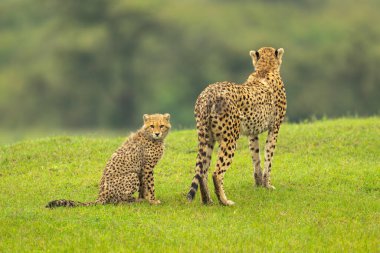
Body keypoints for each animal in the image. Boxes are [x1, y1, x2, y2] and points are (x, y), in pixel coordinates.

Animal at [186, 47, 286, 206]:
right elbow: (268, 158)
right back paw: (224, 201)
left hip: (207, 138)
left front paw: (259, 184)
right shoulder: (275, 128)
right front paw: (267, 185)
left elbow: (256, 158)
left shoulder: (252, 133)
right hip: (230, 138)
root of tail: (207, 94)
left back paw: (207, 200)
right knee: (216, 172)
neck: (265, 68)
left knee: (202, 172)